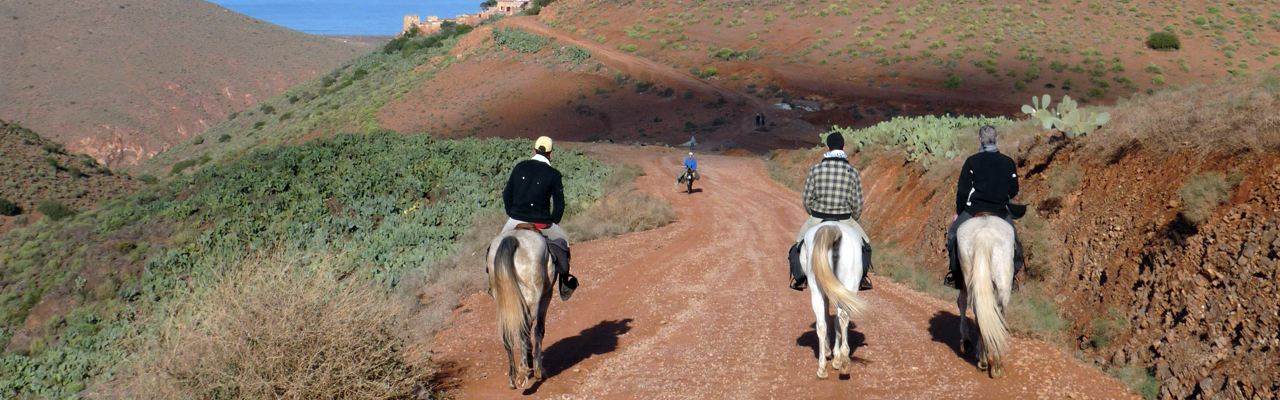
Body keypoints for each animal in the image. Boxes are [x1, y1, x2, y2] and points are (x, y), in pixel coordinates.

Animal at [486, 229, 552, 389]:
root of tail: (513, 238)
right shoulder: (546, 295)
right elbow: (539, 330)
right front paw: (538, 369)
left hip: (506, 302)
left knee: (507, 336)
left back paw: (513, 376)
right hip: (532, 299)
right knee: (525, 330)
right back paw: (523, 372)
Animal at [798, 223, 870, 379]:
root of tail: (833, 227)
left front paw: (829, 351)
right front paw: (836, 356)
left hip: (817, 289)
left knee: (823, 323)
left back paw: (824, 367)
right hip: (848, 285)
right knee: (840, 319)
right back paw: (842, 363)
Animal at [957, 214, 1013, 376]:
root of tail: (984, 233)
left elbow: (961, 303)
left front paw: (967, 343)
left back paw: (984, 361)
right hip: (1003, 286)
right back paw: (994, 361)